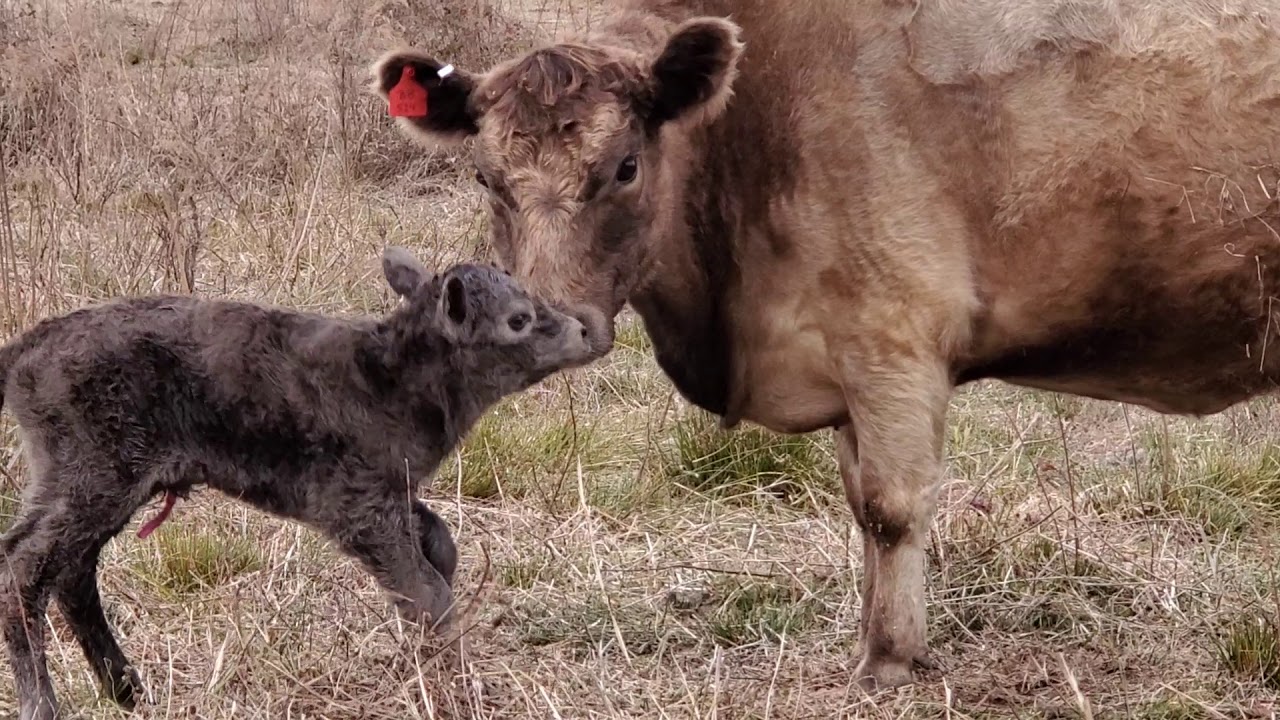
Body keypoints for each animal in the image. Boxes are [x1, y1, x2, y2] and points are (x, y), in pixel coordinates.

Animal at [370, 0, 1280, 692]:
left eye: (625, 166)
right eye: (486, 177)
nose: (546, 320)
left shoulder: (894, 342)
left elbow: (891, 508)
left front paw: (890, 662)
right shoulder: (847, 365)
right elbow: (859, 508)